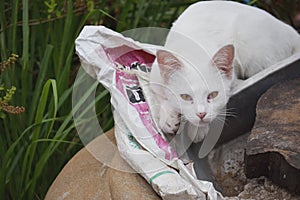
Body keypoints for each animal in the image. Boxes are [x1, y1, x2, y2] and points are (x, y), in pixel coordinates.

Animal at [149, 0, 300, 143]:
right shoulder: (154, 75)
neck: (192, 51)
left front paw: (197, 130)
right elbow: (159, 94)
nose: (201, 114)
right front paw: (168, 117)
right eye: (185, 97)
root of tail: (289, 30)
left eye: (212, 95)